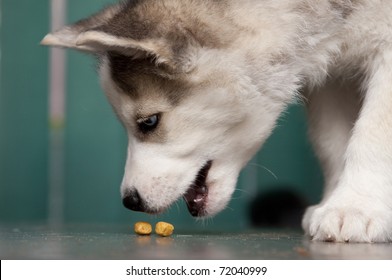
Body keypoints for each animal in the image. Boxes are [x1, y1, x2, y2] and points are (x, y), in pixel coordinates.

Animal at [41, 0, 390, 242]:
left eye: (149, 122)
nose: (130, 201)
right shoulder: (332, 77)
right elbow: (331, 141)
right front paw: (335, 202)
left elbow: (372, 132)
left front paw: (354, 207)